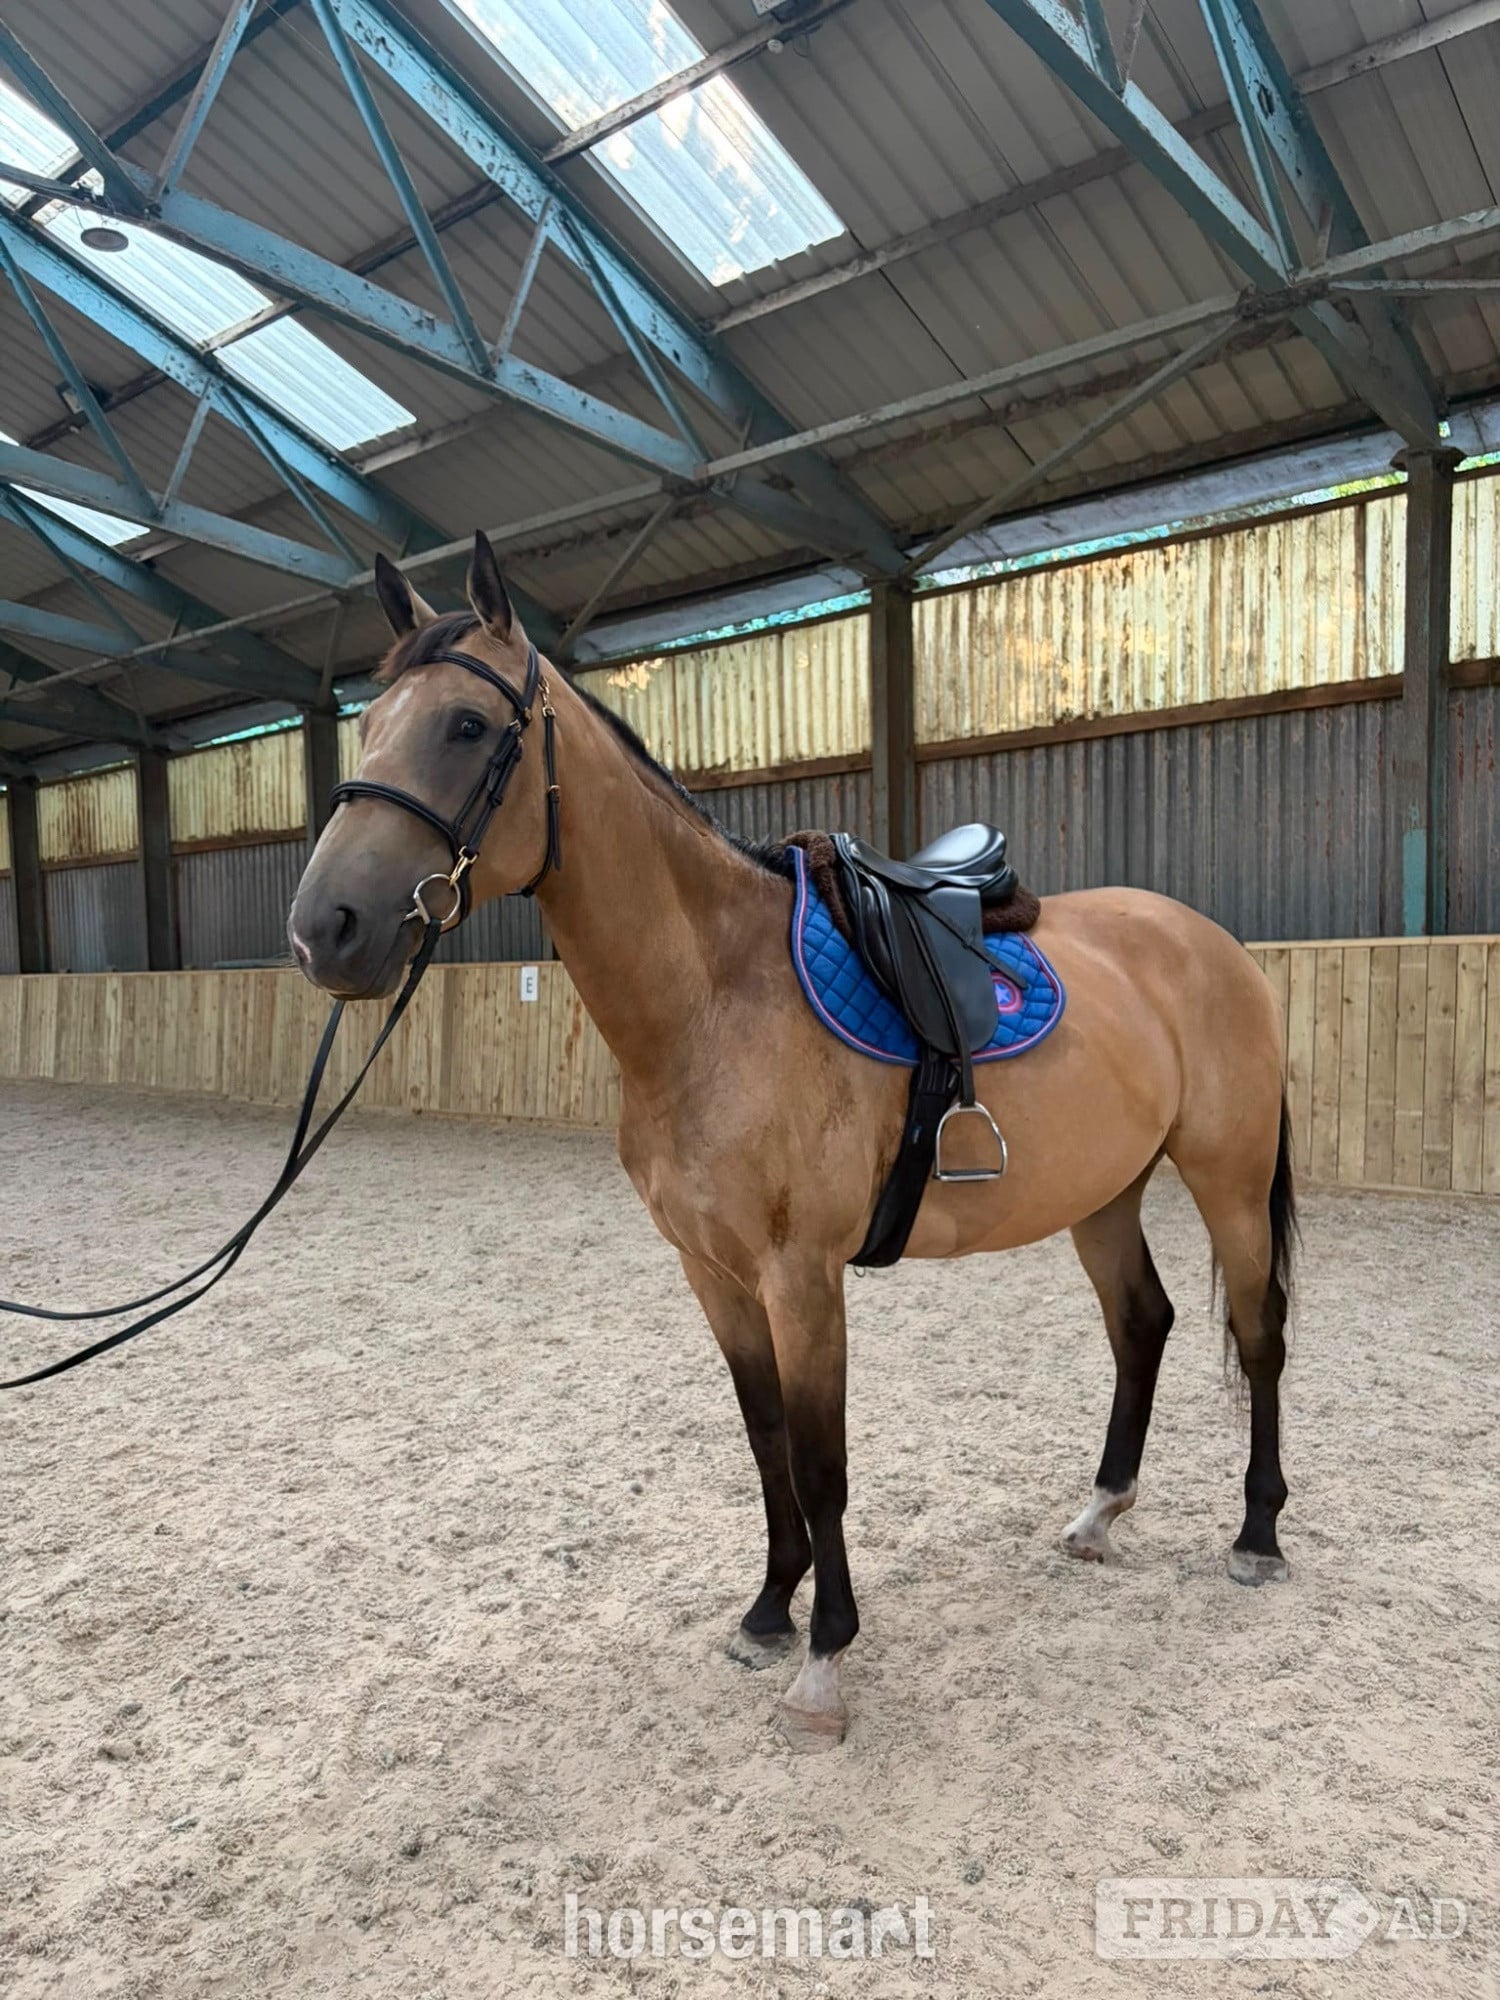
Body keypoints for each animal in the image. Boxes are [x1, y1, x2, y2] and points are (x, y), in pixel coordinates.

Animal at [288, 532, 1296, 1753]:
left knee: (1259, 1335)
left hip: (1227, 1177)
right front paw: (771, 1607)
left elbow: (821, 1463)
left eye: (468, 726)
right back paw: (1101, 1512)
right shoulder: (714, 1274)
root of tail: (1209, 941)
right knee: (1142, 1324)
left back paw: (1257, 1535)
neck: (715, 998)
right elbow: (765, 1439)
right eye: (370, 727)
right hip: (1102, 1190)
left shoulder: (801, 1276)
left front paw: (826, 1658)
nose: (325, 928)